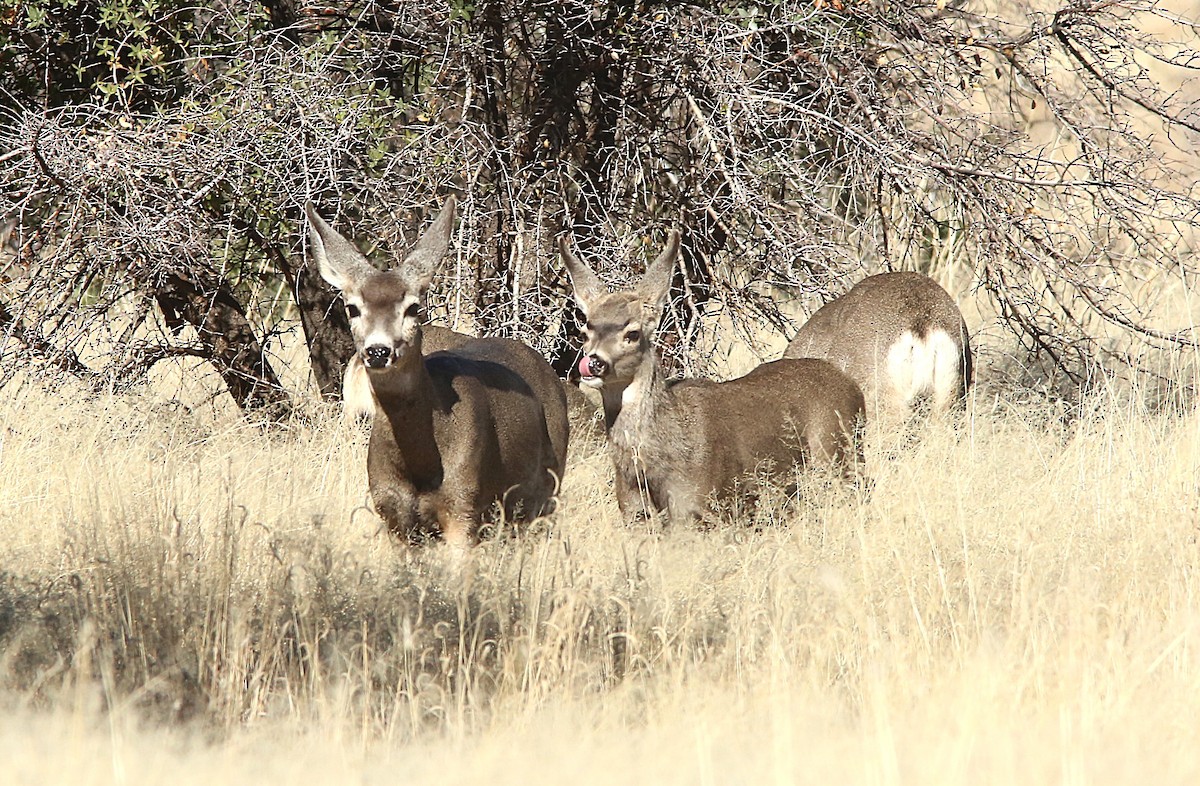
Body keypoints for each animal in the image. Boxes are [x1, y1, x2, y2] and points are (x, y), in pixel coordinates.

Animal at [306, 197, 570, 547]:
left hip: (546, 492)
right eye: (352, 308)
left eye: (413, 307)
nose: (378, 351)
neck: (420, 467)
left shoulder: (464, 505)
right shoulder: (393, 516)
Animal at [559, 231, 866, 527]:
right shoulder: (633, 511)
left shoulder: (697, 504)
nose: (594, 363)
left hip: (837, 454)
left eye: (632, 333)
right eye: (585, 333)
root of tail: (850, 384)